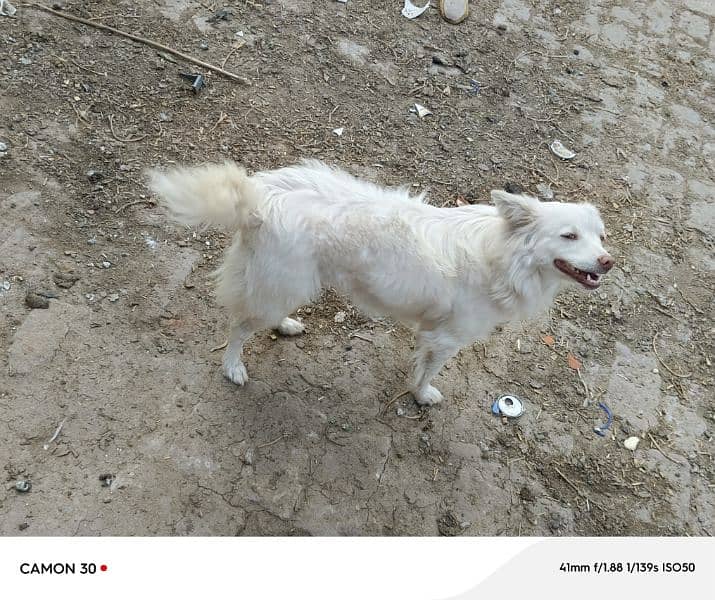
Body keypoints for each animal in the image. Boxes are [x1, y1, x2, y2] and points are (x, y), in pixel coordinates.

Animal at [148, 159, 612, 406]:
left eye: (600, 236)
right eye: (569, 236)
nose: (608, 262)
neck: (503, 253)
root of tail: (260, 196)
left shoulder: (433, 331)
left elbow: (419, 361)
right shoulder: (448, 337)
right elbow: (429, 370)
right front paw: (422, 396)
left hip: (286, 284)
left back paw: (285, 325)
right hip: (283, 282)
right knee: (239, 325)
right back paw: (233, 367)